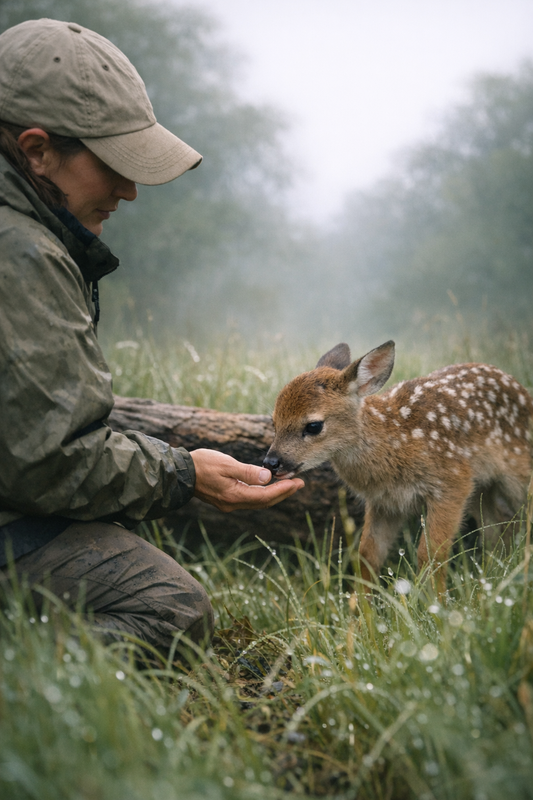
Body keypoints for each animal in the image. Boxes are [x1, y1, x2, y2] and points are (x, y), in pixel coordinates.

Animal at [264, 341, 533, 593]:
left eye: (313, 426)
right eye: (274, 421)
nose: (271, 462)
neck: (396, 443)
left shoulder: (453, 482)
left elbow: (431, 554)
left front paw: (437, 607)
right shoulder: (385, 502)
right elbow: (367, 555)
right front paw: (359, 610)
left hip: (517, 475)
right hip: (482, 491)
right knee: (498, 529)